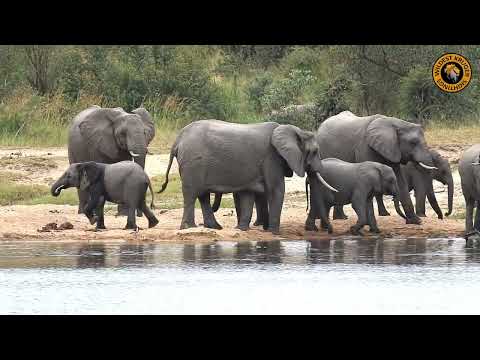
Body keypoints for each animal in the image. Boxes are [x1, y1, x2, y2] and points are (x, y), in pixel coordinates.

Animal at [158, 119, 338, 235]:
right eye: (314, 151)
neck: (295, 131)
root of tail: (178, 140)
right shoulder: (271, 158)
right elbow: (276, 190)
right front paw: (274, 233)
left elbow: (248, 194)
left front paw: (243, 230)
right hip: (193, 163)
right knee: (191, 193)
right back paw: (189, 228)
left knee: (202, 195)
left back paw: (214, 228)